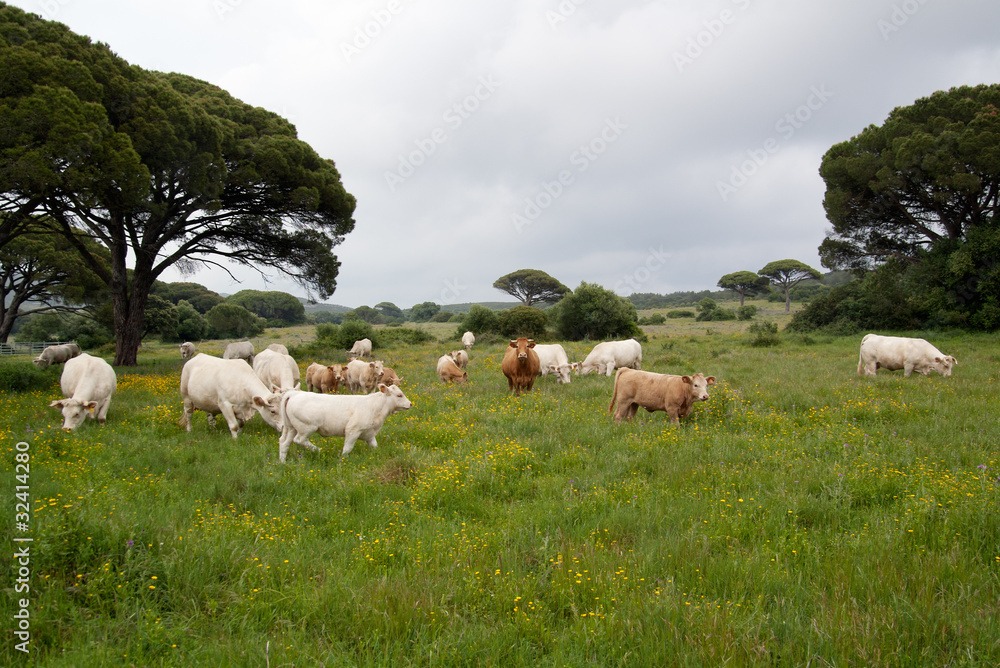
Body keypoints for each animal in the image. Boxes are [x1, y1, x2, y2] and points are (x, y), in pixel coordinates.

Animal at [277, 384, 413, 462]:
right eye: (399, 395)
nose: (410, 404)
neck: (375, 406)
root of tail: (294, 393)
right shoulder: (353, 430)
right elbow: (347, 448)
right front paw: (342, 460)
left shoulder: (369, 433)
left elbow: (374, 446)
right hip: (306, 427)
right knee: (299, 440)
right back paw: (318, 450)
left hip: (291, 428)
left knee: (284, 443)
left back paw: (283, 462)